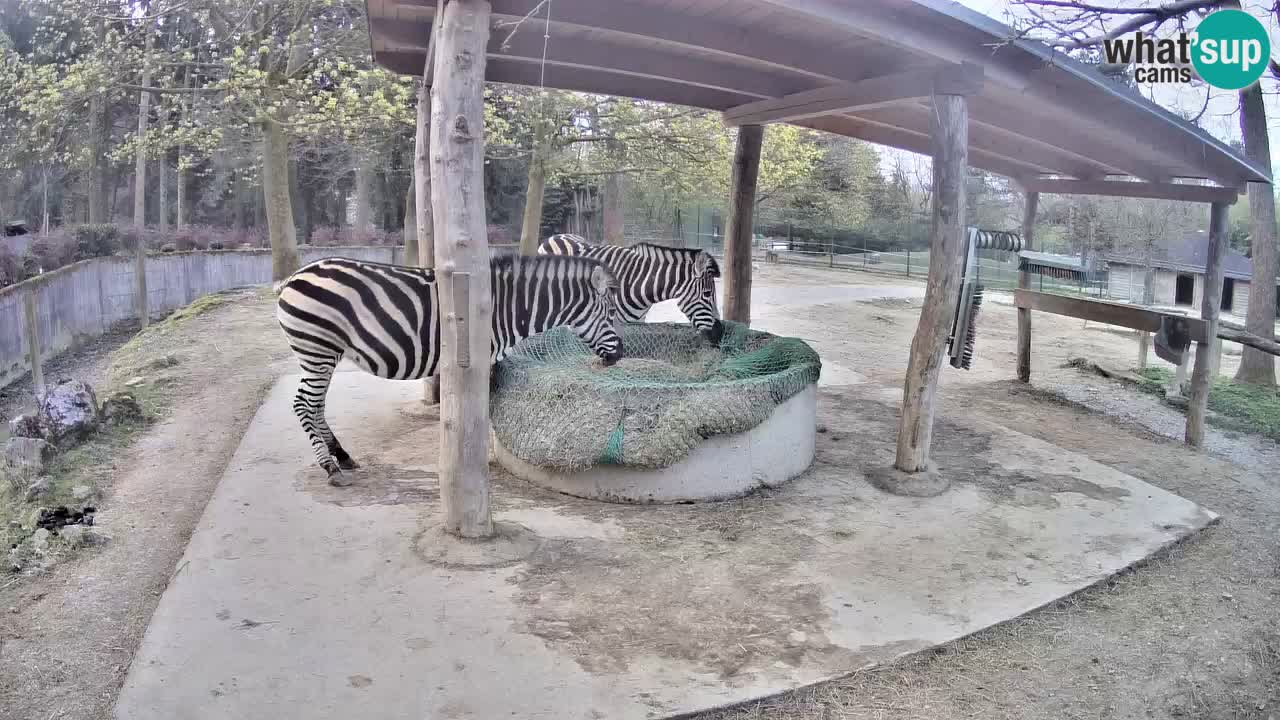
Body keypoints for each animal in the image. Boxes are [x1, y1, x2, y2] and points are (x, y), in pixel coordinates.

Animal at [275, 253, 623, 484]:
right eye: (610, 315)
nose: (619, 354)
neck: (508, 308)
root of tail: (293, 277)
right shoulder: (483, 359)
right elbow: (484, 409)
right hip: (317, 348)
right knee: (303, 404)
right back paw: (330, 467)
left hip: (324, 353)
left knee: (316, 405)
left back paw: (342, 456)